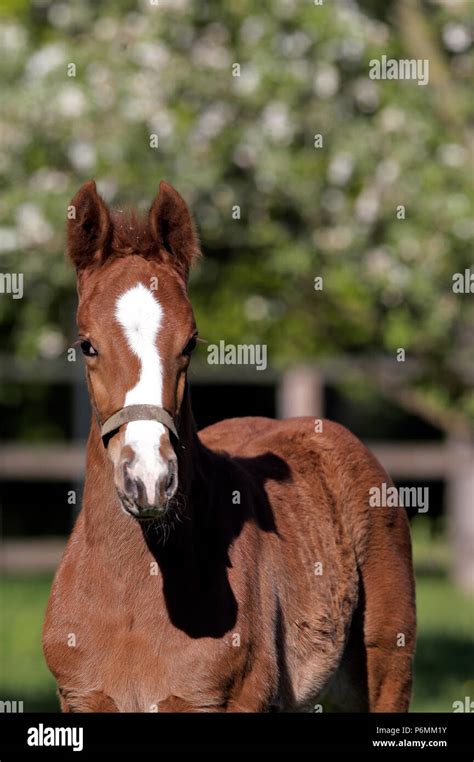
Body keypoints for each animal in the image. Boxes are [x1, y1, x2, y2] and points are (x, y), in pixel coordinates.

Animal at [43, 181, 414, 708]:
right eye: (86, 345)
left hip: (387, 667)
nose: (149, 480)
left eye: (190, 343)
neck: (134, 589)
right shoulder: (81, 698)